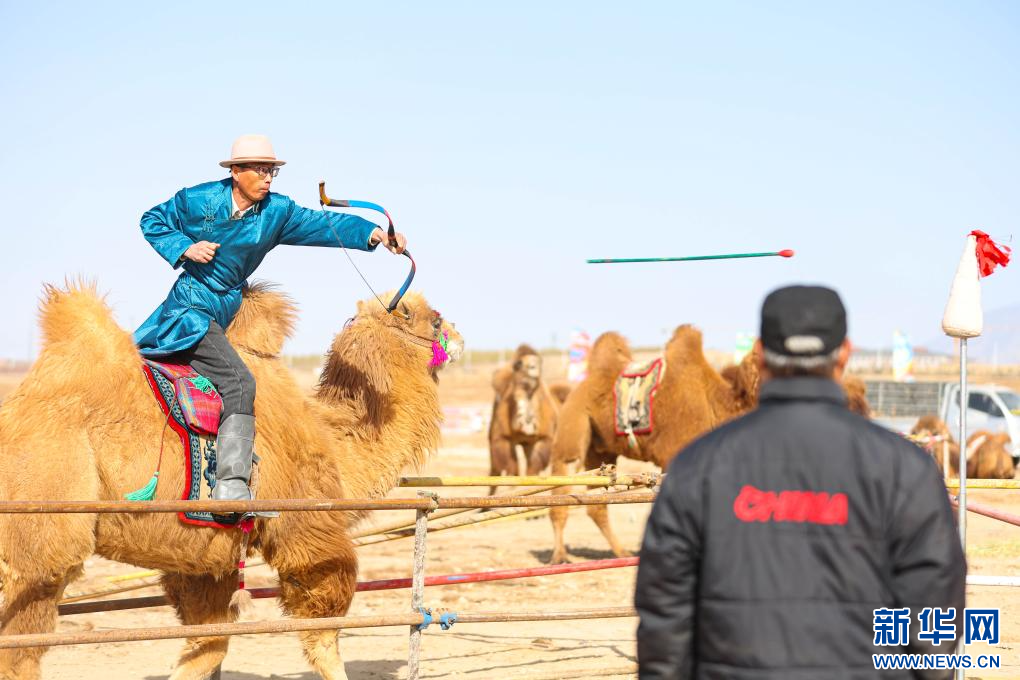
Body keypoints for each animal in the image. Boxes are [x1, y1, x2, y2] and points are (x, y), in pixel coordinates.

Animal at [0, 281, 463, 680]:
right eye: (436, 318)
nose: (459, 335)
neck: (333, 442)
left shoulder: (203, 554)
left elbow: (206, 645)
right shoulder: (306, 529)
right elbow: (324, 634)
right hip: (44, 531)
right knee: (21, 651)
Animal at [488, 345, 569, 494]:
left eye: (536, 389)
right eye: (518, 365)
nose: (533, 366)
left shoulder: (544, 439)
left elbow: (533, 468)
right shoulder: (503, 439)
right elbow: (512, 468)